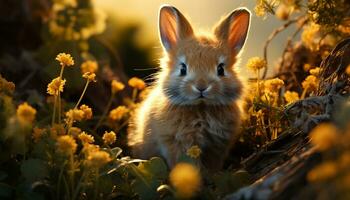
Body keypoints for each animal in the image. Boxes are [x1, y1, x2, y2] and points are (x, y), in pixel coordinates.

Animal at [127, 4, 250, 170]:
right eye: (183, 68)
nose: (201, 87)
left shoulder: (218, 146)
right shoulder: (176, 142)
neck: (201, 107)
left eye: (221, 69)